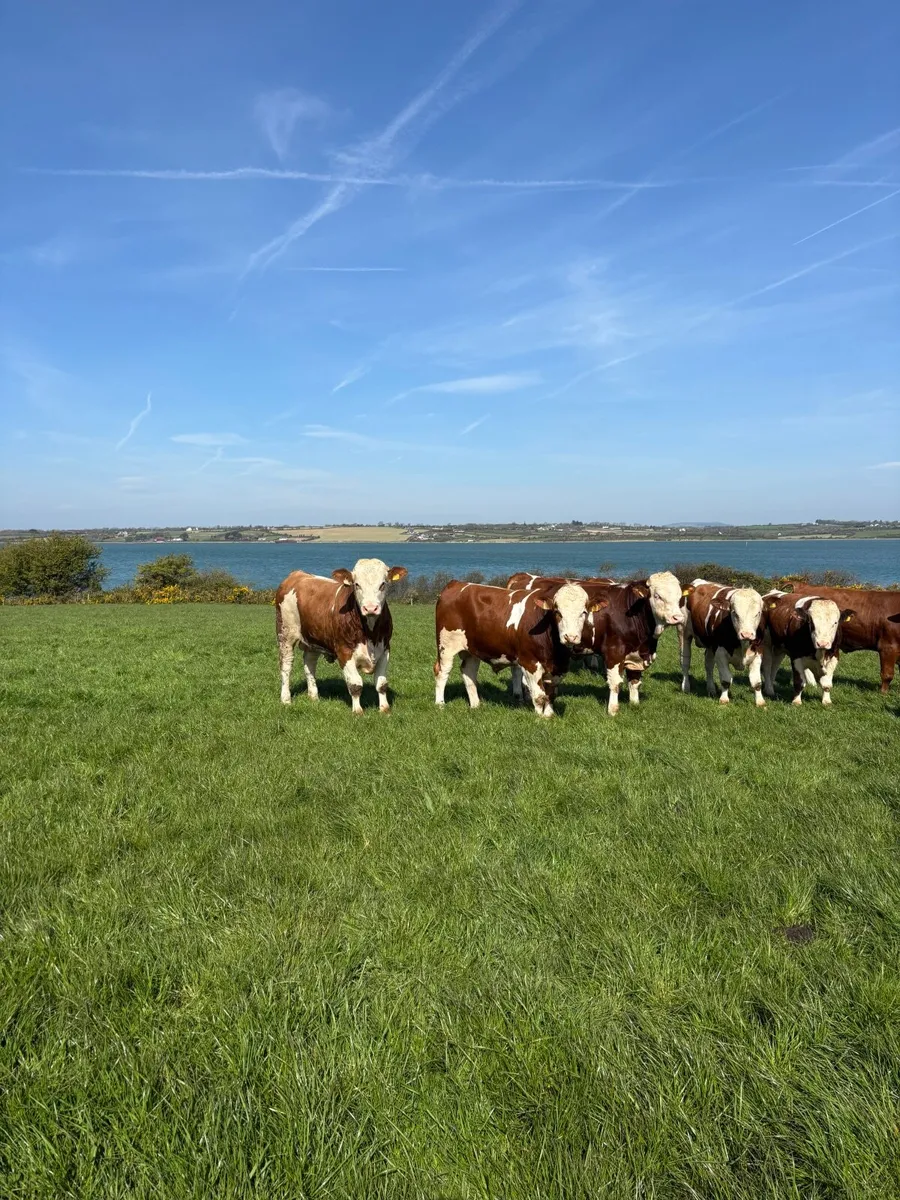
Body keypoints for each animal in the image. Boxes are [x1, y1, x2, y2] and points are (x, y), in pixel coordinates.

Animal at [275, 559, 408, 713]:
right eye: (357, 584)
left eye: (383, 584)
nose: (370, 608)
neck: (370, 634)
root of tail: (297, 574)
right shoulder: (344, 651)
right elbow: (355, 684)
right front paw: (357, 711)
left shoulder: (385, 649)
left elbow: (381, 683)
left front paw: (384, 709)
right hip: (285, 633)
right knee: (286, 665)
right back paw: (286, 699)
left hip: (313, 639)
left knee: (310, 665)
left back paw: (314, 697)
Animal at [433, 580, 605, 717]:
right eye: (557, 612)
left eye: (583, 612)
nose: (570, 637)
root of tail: (456, 583)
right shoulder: (529, 663)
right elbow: (539, 696)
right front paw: (540, 719)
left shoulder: (558, 668)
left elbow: (550, 694)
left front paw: (549, 716)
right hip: (446, 646)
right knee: (442, 672)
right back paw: (440, 704)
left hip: (472, 650)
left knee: (468, 673)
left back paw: (476, 705)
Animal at [506, 571, 685, 713]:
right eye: (657, 596)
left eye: (679, 597)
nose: (677, 617)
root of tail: (523, 576)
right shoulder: (614, 651)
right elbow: (615, 683)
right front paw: (613, 710)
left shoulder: (636, 654)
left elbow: (635, 682)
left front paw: (635, 704)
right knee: (519, 672)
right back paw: (522, 695)